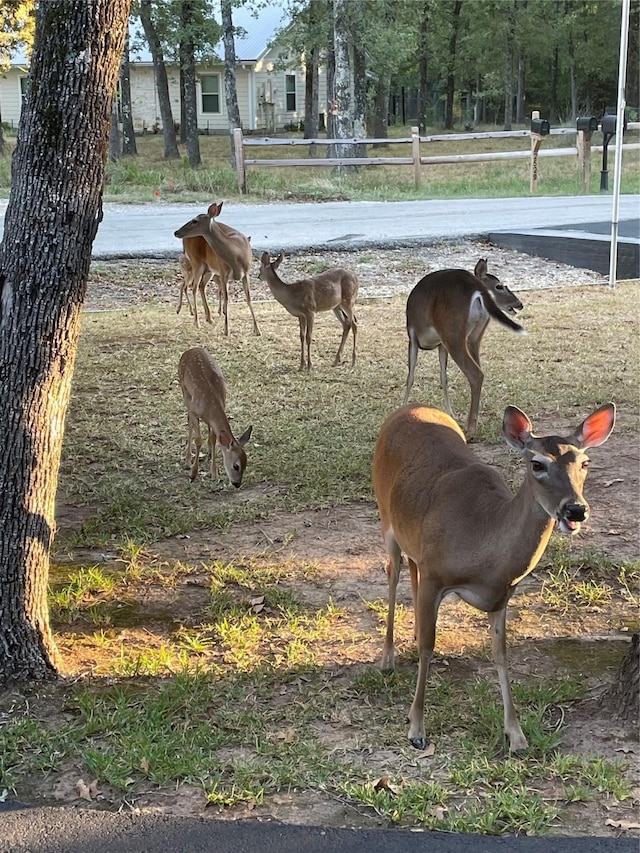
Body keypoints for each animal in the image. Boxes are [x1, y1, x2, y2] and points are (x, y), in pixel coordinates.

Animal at [174, 205, 262, 338]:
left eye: (195, 221)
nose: (176, 232)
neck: (236, 254)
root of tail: (184, 240)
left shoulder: (246, 272)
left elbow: (248, 298)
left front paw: (257, 330)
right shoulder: (223, 272)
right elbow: (226, 298)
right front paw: (226, 330)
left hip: (208, 269)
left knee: (200, 286)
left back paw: (209, 318)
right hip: (196, 263)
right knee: (193, 288)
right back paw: (197, 322)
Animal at [179, 346, 254, 490]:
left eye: (246, 464)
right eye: (236, 466)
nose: (237, 484)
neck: (211, 402)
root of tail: (190, 349)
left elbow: (213, 439)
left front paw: (214, 473)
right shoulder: (194, 410)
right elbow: (198, 440)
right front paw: (193, 474)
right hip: (184, 388)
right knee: (189, 422)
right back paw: (187, 460)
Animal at [372, 402, 616, 752]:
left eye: (585, 462)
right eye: (537, 464)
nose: (575, 509)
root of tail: (410, 407)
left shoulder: (502, 594)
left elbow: (501, 654)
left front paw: (516, 734)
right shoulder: (436, 574)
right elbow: (429, 647)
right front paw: (416, 727)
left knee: (410, 567)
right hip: (385, 515)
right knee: (393, 572)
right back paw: (387, 659)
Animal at [404, 260, 524, 440]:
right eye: (499, 286)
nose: (519, 304)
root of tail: (475, 286)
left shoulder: (413, 336)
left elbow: (410, 376)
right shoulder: (442, 345)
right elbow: (443, 377)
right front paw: (450, 414)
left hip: (453, 334)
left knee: (476, 374)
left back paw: (470, 431)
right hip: (473, 337)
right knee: (478, 370)